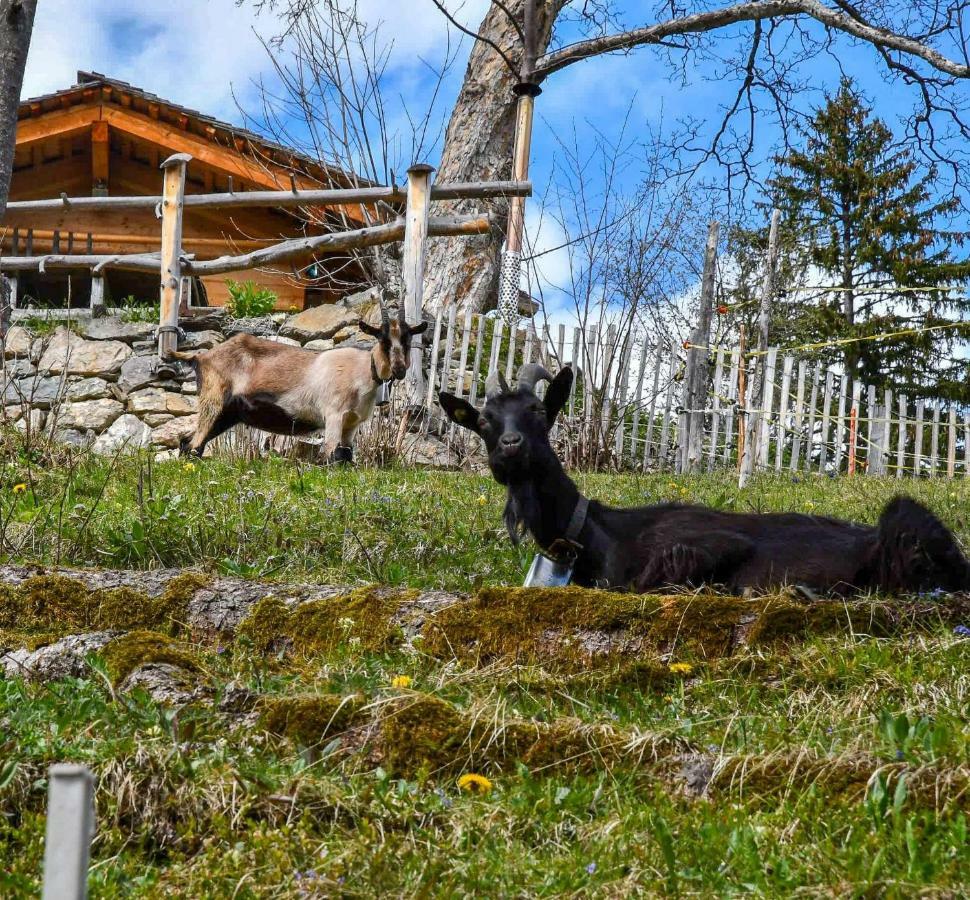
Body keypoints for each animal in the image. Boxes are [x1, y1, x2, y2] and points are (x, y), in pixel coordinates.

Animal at [168, 304, 426, 464]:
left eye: (408, 338)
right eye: (382, 339)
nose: (399, 369)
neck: (363, 370)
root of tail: (201, 357)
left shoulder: (352, 424)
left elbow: (345, 457)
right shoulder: (334, 416)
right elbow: (329, 457)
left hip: (228, 413)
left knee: (189, 442)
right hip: (213, 400)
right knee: (194, 443)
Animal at [442, 362, 968, 596]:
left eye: (537, 410)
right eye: (484, 420)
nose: (511, 447)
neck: (594, 535)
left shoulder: (710, 542)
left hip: (904, 513)